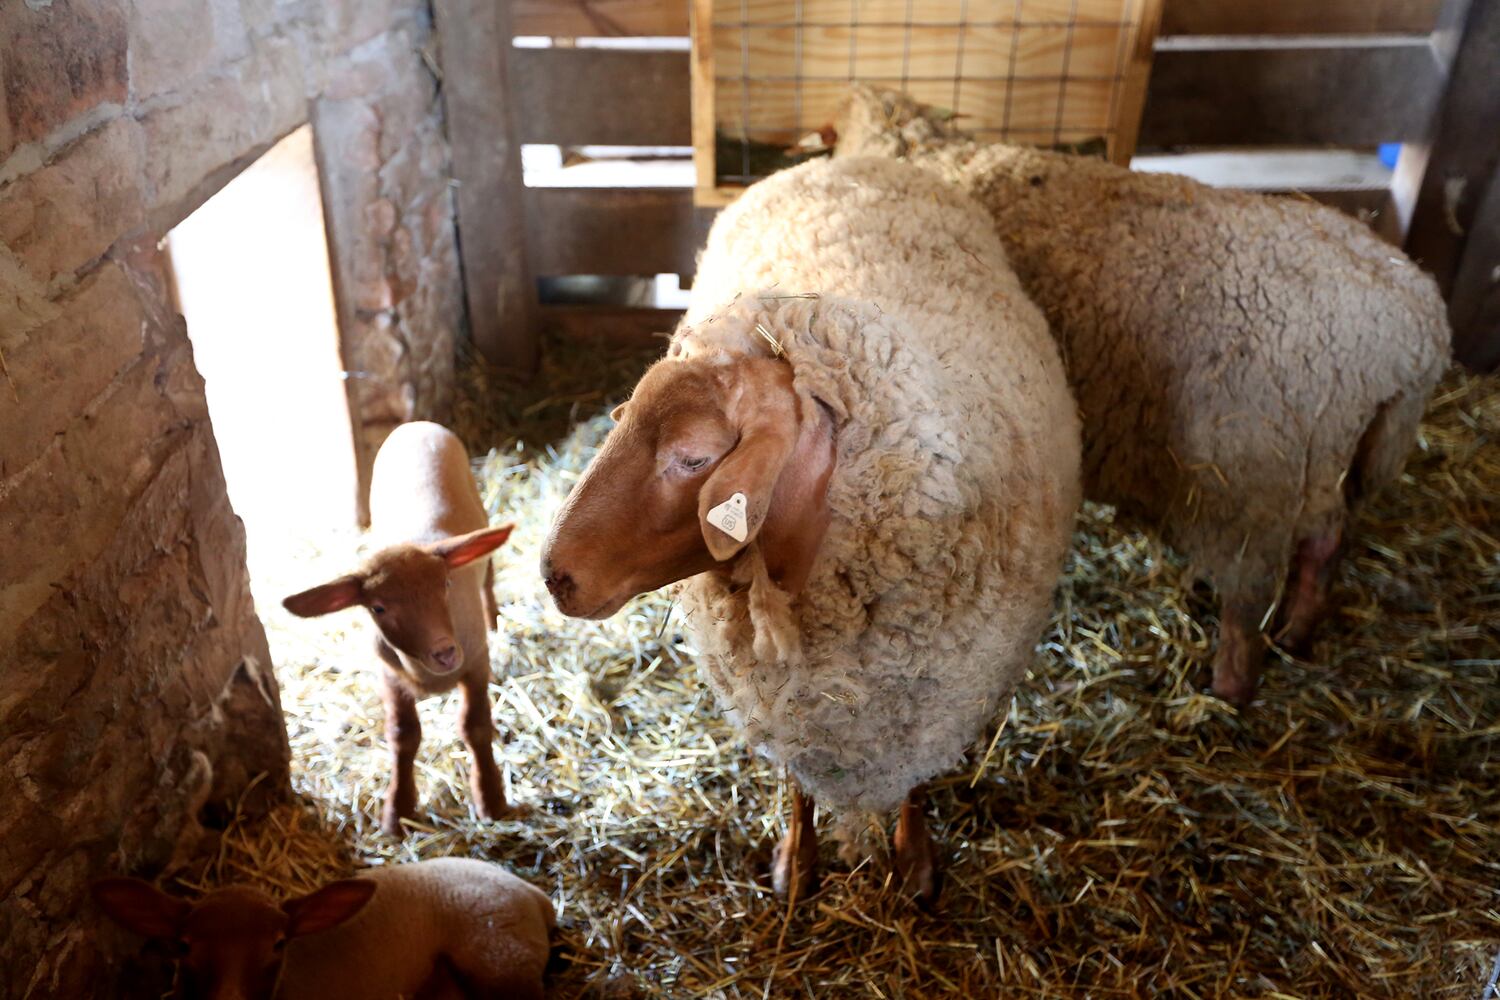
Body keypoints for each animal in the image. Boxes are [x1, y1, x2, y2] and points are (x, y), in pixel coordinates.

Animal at [282, 422, 516, 839]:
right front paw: (398, 810)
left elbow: (475, 727)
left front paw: (490, 798)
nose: (445, 652)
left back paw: (494, 618)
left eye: (446, 585)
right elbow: (403, 737)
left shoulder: (475, 662)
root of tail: (416, 425)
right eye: (378, 608)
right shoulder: (389, 676)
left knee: (489, 578)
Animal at [540, 152, 1080, 905]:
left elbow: (916, 785)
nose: (553, 574)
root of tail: (852, 157)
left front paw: (914, 862)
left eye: (693, 458)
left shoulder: (926, 706)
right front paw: (796, 865)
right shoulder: (790, 704)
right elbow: (797, 785)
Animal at [834, 89, 1452, 707]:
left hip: (1253, 487)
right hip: (1333, 463)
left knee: (1251, 597)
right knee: (1326, 543)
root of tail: (1416, 334)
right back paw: (1298, 635)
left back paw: (1231, 686)